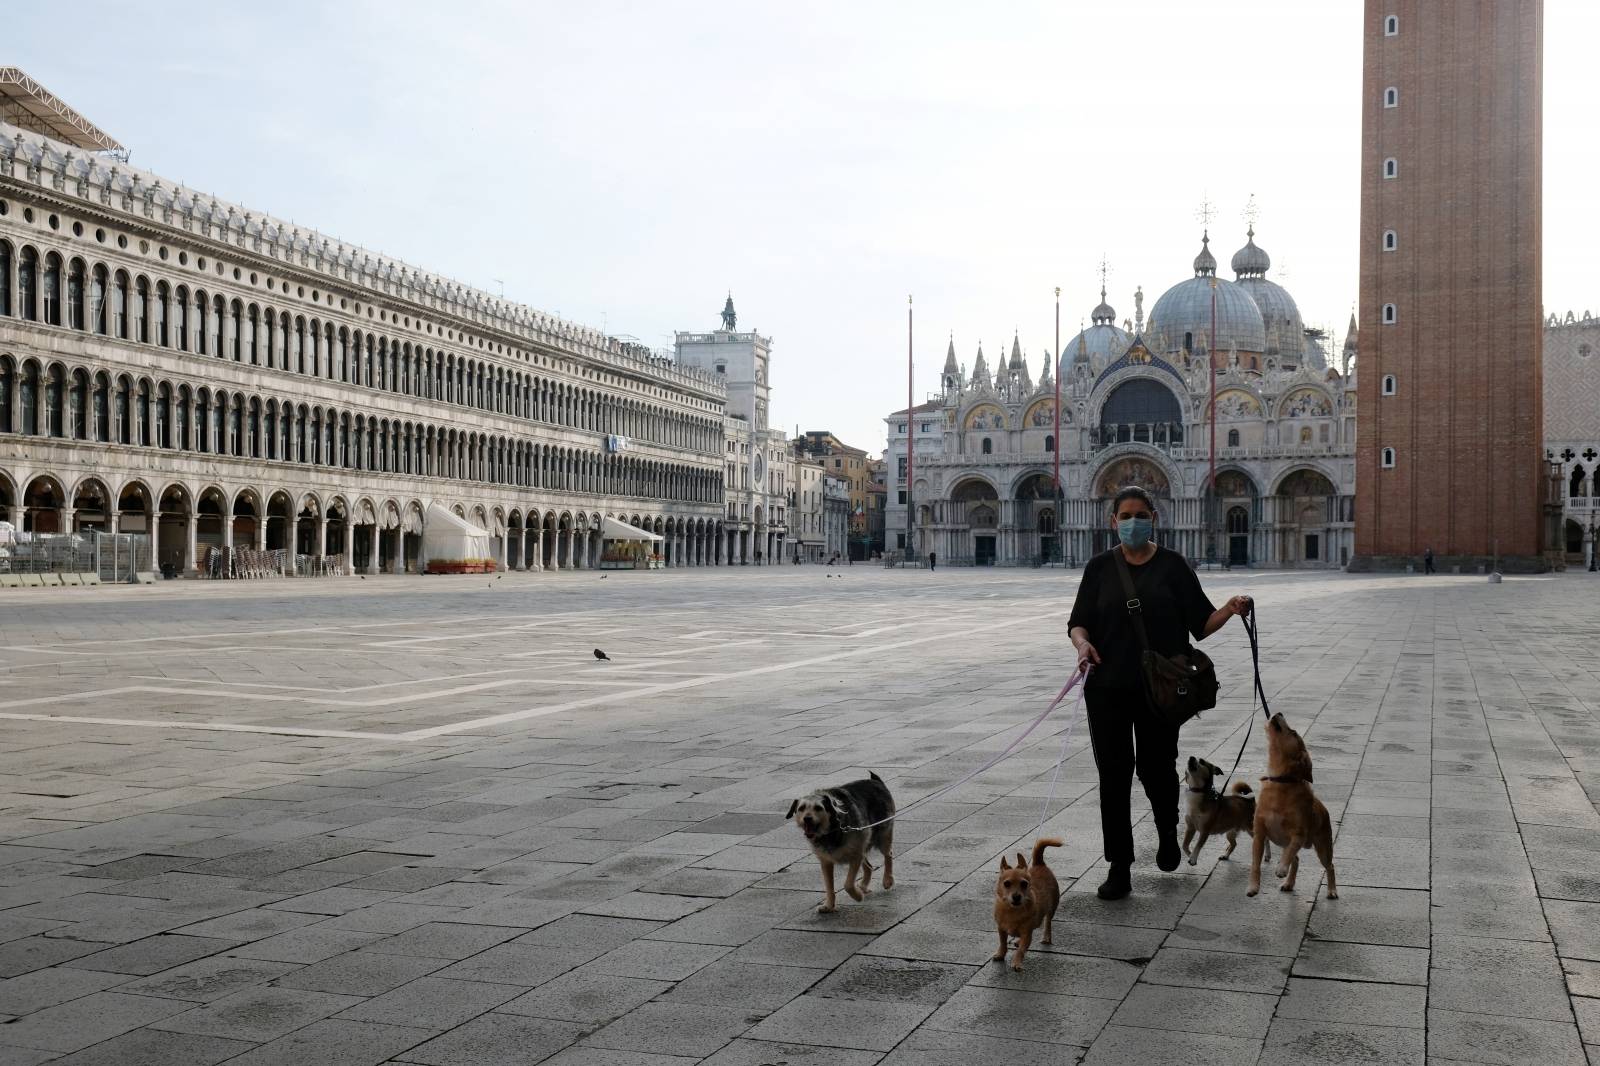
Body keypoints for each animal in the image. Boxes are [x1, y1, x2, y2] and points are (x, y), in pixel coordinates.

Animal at [790, 768, 902, 909]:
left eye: (818, 808)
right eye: (801, 808)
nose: (807, 818)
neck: (832, 829)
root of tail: (876, 781)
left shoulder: (855, 857)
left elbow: (848, 884)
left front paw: (858, 897)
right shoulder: (826, 862)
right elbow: (829, 885)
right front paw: (829, 905)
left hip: (883, 834)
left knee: (888, 855)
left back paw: (887, 879)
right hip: (863, 842)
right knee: (869, 866)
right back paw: (864, 885)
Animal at [985, 832, 1062, 966]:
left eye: (1024, 884)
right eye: (1007, 884)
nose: (1016, 896)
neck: (1013, 911)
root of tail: (1039, 863)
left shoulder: (1027, 933)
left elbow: (1021, 950)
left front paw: (1016, 963)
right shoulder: (1001, 929)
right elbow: (1003, 943)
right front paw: (1000, 954)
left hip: (1052, 908)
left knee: (1047, 922)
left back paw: (1046, 937)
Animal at [1248, 713, 1337, 896]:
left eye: (1294, 732)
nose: (1279, 713)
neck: (1280, 781)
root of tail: (1324, 809)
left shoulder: (1299, 834)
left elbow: (1290, 852)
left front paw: (1281, 868)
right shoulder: (1259, 834)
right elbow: (1255, 864)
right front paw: (1253, 886)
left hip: (1323, 846)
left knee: (1329, 866)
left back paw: (1331, 890)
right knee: (1296, 859)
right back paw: (1289, 883)